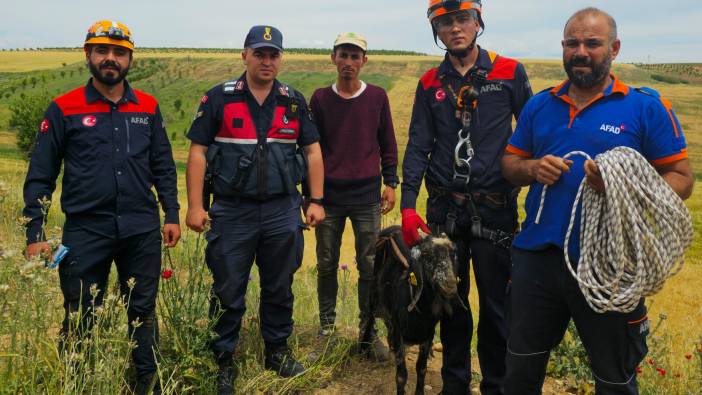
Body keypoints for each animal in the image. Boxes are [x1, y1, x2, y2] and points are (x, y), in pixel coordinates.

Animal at [372, 226, 464, 395]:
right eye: (426, 254)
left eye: (453, 253)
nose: (449, 284)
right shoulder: (399, 333)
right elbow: (401, 375)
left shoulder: (428, 334)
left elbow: (421, 369)